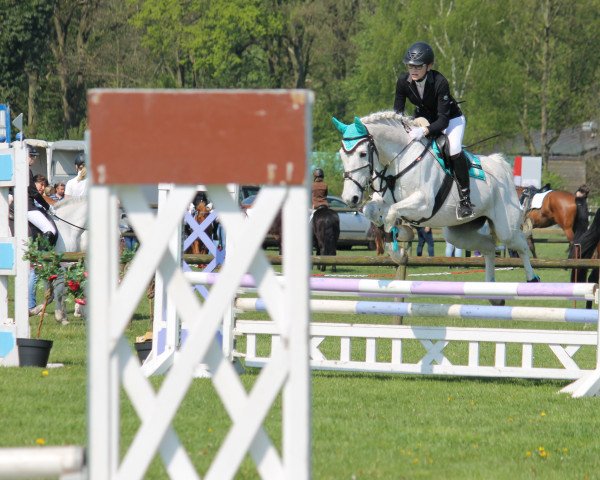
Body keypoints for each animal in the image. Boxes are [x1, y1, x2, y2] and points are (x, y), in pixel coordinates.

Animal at [332, 111, 540, 284]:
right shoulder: (383, 201)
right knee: (488, 246)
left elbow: (392, 213)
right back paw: (490, 286)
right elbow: (371, 211)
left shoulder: (423, 204)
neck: (400, 159)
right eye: (341, 154)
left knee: (520, 244)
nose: (350, 198)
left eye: (362, 153)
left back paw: (533, 279)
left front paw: (399, 249)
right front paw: (398, 235)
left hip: (505, 227)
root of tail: (501, 165)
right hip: (457, 233)